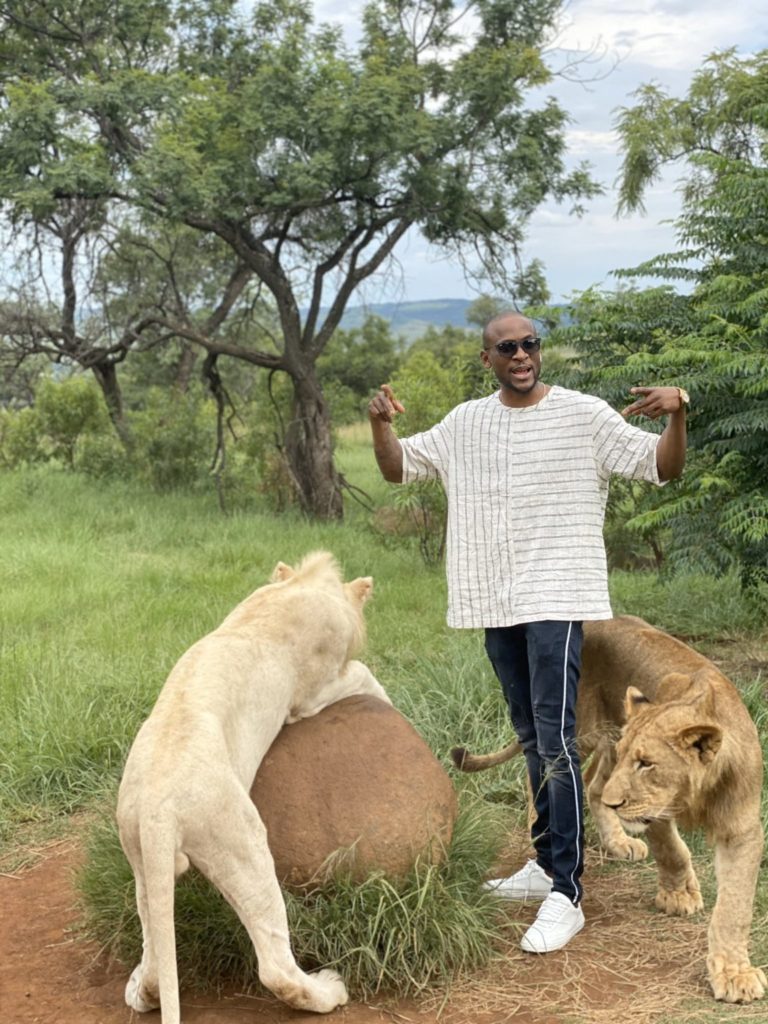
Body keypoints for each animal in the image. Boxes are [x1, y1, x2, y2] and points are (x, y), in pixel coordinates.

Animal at [117, 552, 393, 1024]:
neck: (300, 587)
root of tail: (158, 811)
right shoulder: (311, 695)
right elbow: (361, 671)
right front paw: (389, 700)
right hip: (243, 846)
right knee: (276, 966)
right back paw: (329, 989)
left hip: (141, 858)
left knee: (154, 952)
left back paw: (140, 990)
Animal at [454, 614, 765, 999]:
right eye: (634, 760)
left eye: (646, 763)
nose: (617, 805)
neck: (695, 792)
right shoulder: (653, 810)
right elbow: (672, 851)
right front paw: (679, 895)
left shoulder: (742, 830)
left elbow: (734, 907)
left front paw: (734, 974)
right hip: (579, 730)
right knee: (542, 774)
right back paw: (542, 832)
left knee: (593, 786)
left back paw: (618, 841)